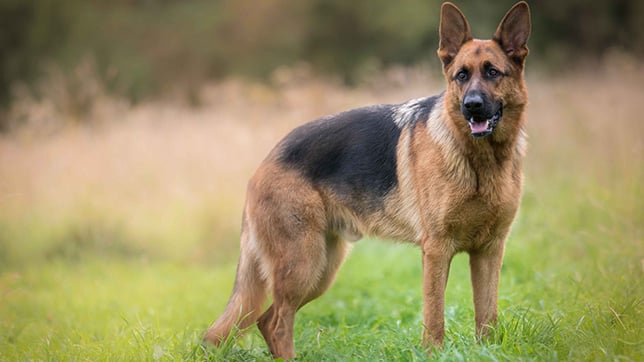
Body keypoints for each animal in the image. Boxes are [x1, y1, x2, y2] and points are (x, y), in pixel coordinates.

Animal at [204, 2, 532, 360]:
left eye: (492, 73)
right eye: (462, 75)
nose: (471, 106)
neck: (481, 161)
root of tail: (266, 161)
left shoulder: (490, 251)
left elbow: (487, 316)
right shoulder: (436, 251)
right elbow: (434, 317)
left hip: (322, 270)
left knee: (266, 320)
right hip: (304, 266)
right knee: (277, 322)